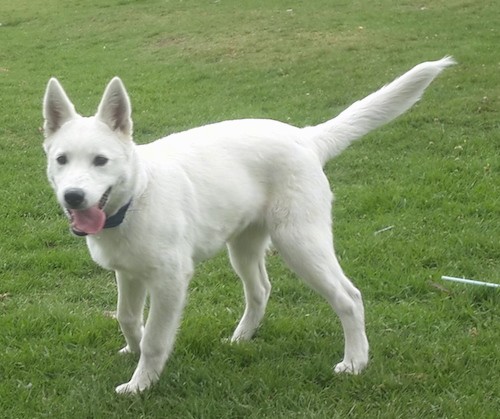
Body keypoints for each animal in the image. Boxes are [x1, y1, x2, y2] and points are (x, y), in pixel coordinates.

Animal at [42, 55, 454, 394]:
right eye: (62, 160)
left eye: (100, 161)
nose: (73, 197)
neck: (137, 196)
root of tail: (305, 137)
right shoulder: (129, 274)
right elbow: (128, 318)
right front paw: (132, 348)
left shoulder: (170, 280)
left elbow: (157, 340)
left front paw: (141, 384)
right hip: (243, 246)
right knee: (260, 291)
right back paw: (241, 338)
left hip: (301, 243)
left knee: (348, 297)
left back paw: (355, 362)